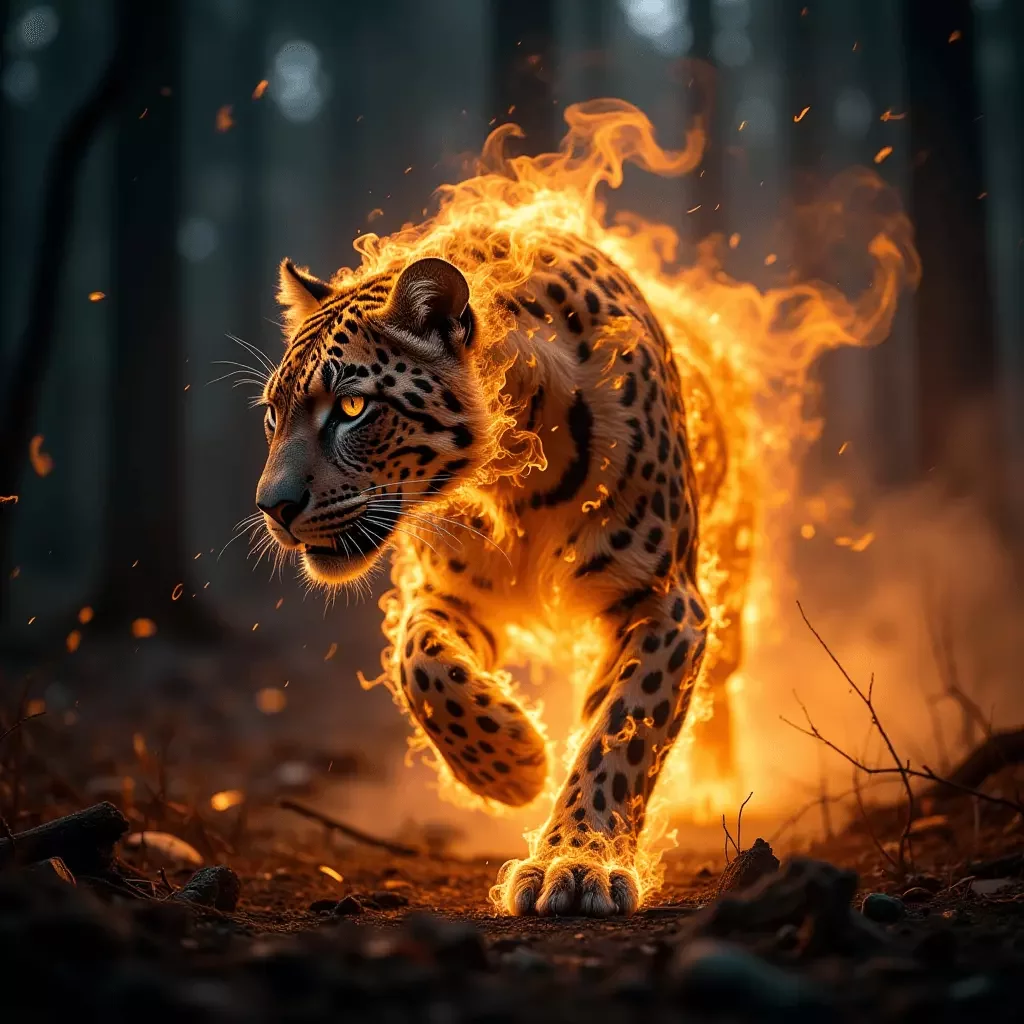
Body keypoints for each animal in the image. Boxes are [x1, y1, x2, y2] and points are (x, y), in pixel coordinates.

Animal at [255, 230, 708, 917]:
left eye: (353, 407)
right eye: (272, 416)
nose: (271, 507)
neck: (518, 482)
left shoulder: (664, 599)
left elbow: (622, 732)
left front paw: (576, 862)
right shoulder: (451, 595)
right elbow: (420, 664)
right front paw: (515, 765)